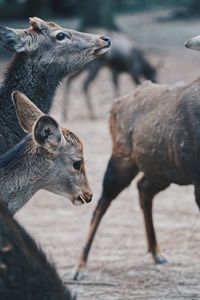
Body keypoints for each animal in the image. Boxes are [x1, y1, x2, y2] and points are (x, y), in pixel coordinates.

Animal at [73, 32, 200, 278]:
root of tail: (115, 107)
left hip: (162, 170)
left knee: (144, 189)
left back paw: (157, 253)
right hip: (121, 160)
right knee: (101, 203)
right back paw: (79, 266)